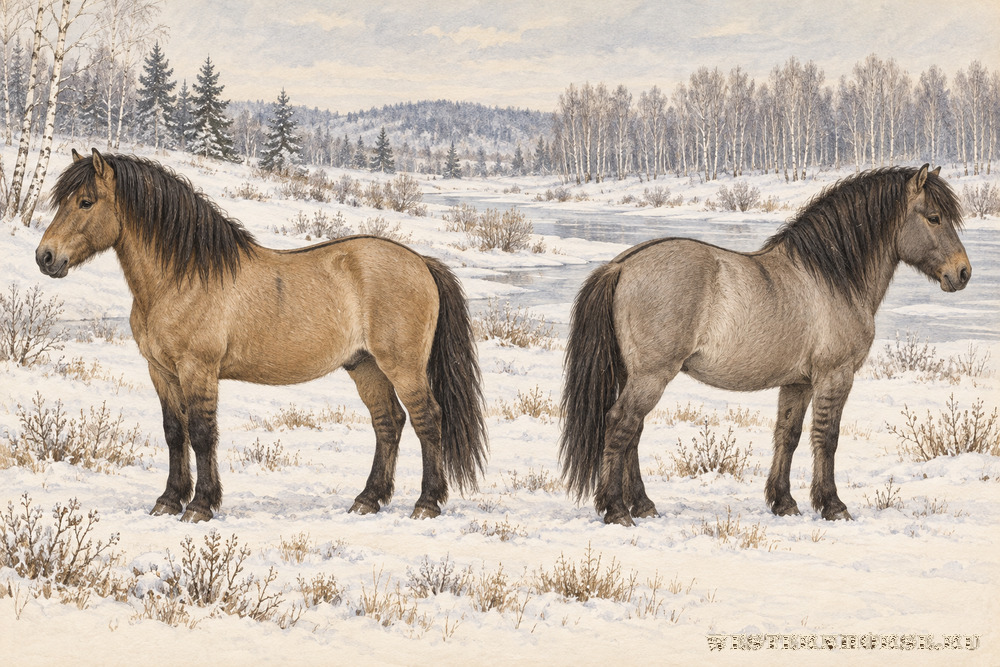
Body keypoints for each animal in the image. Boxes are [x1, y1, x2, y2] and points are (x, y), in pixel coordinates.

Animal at [36, 149, 487, 523]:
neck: (182, 277)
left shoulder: (198, 370)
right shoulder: (161, 372)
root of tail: (421, 262)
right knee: (388, 422)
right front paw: (168, 500)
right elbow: (174, 432)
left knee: (428, 420)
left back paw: (426, 503)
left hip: (402, 366)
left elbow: (202, 433)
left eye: (86, 201)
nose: (45, 257)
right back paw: (367, 500)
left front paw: (200, 506)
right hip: (365, 366)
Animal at [559, 164, 969, 526]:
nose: (962, 273)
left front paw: (783, 502)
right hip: (651, 375)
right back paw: (616, 510)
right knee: (621, 424)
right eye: (934, 217)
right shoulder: (835, 376)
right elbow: (827, 437)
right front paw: (833, 505)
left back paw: (643, 504)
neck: (831, 278)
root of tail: (621, 266)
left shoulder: (798, 383)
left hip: (636, 374)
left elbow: (788, 435)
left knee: (634, 431)